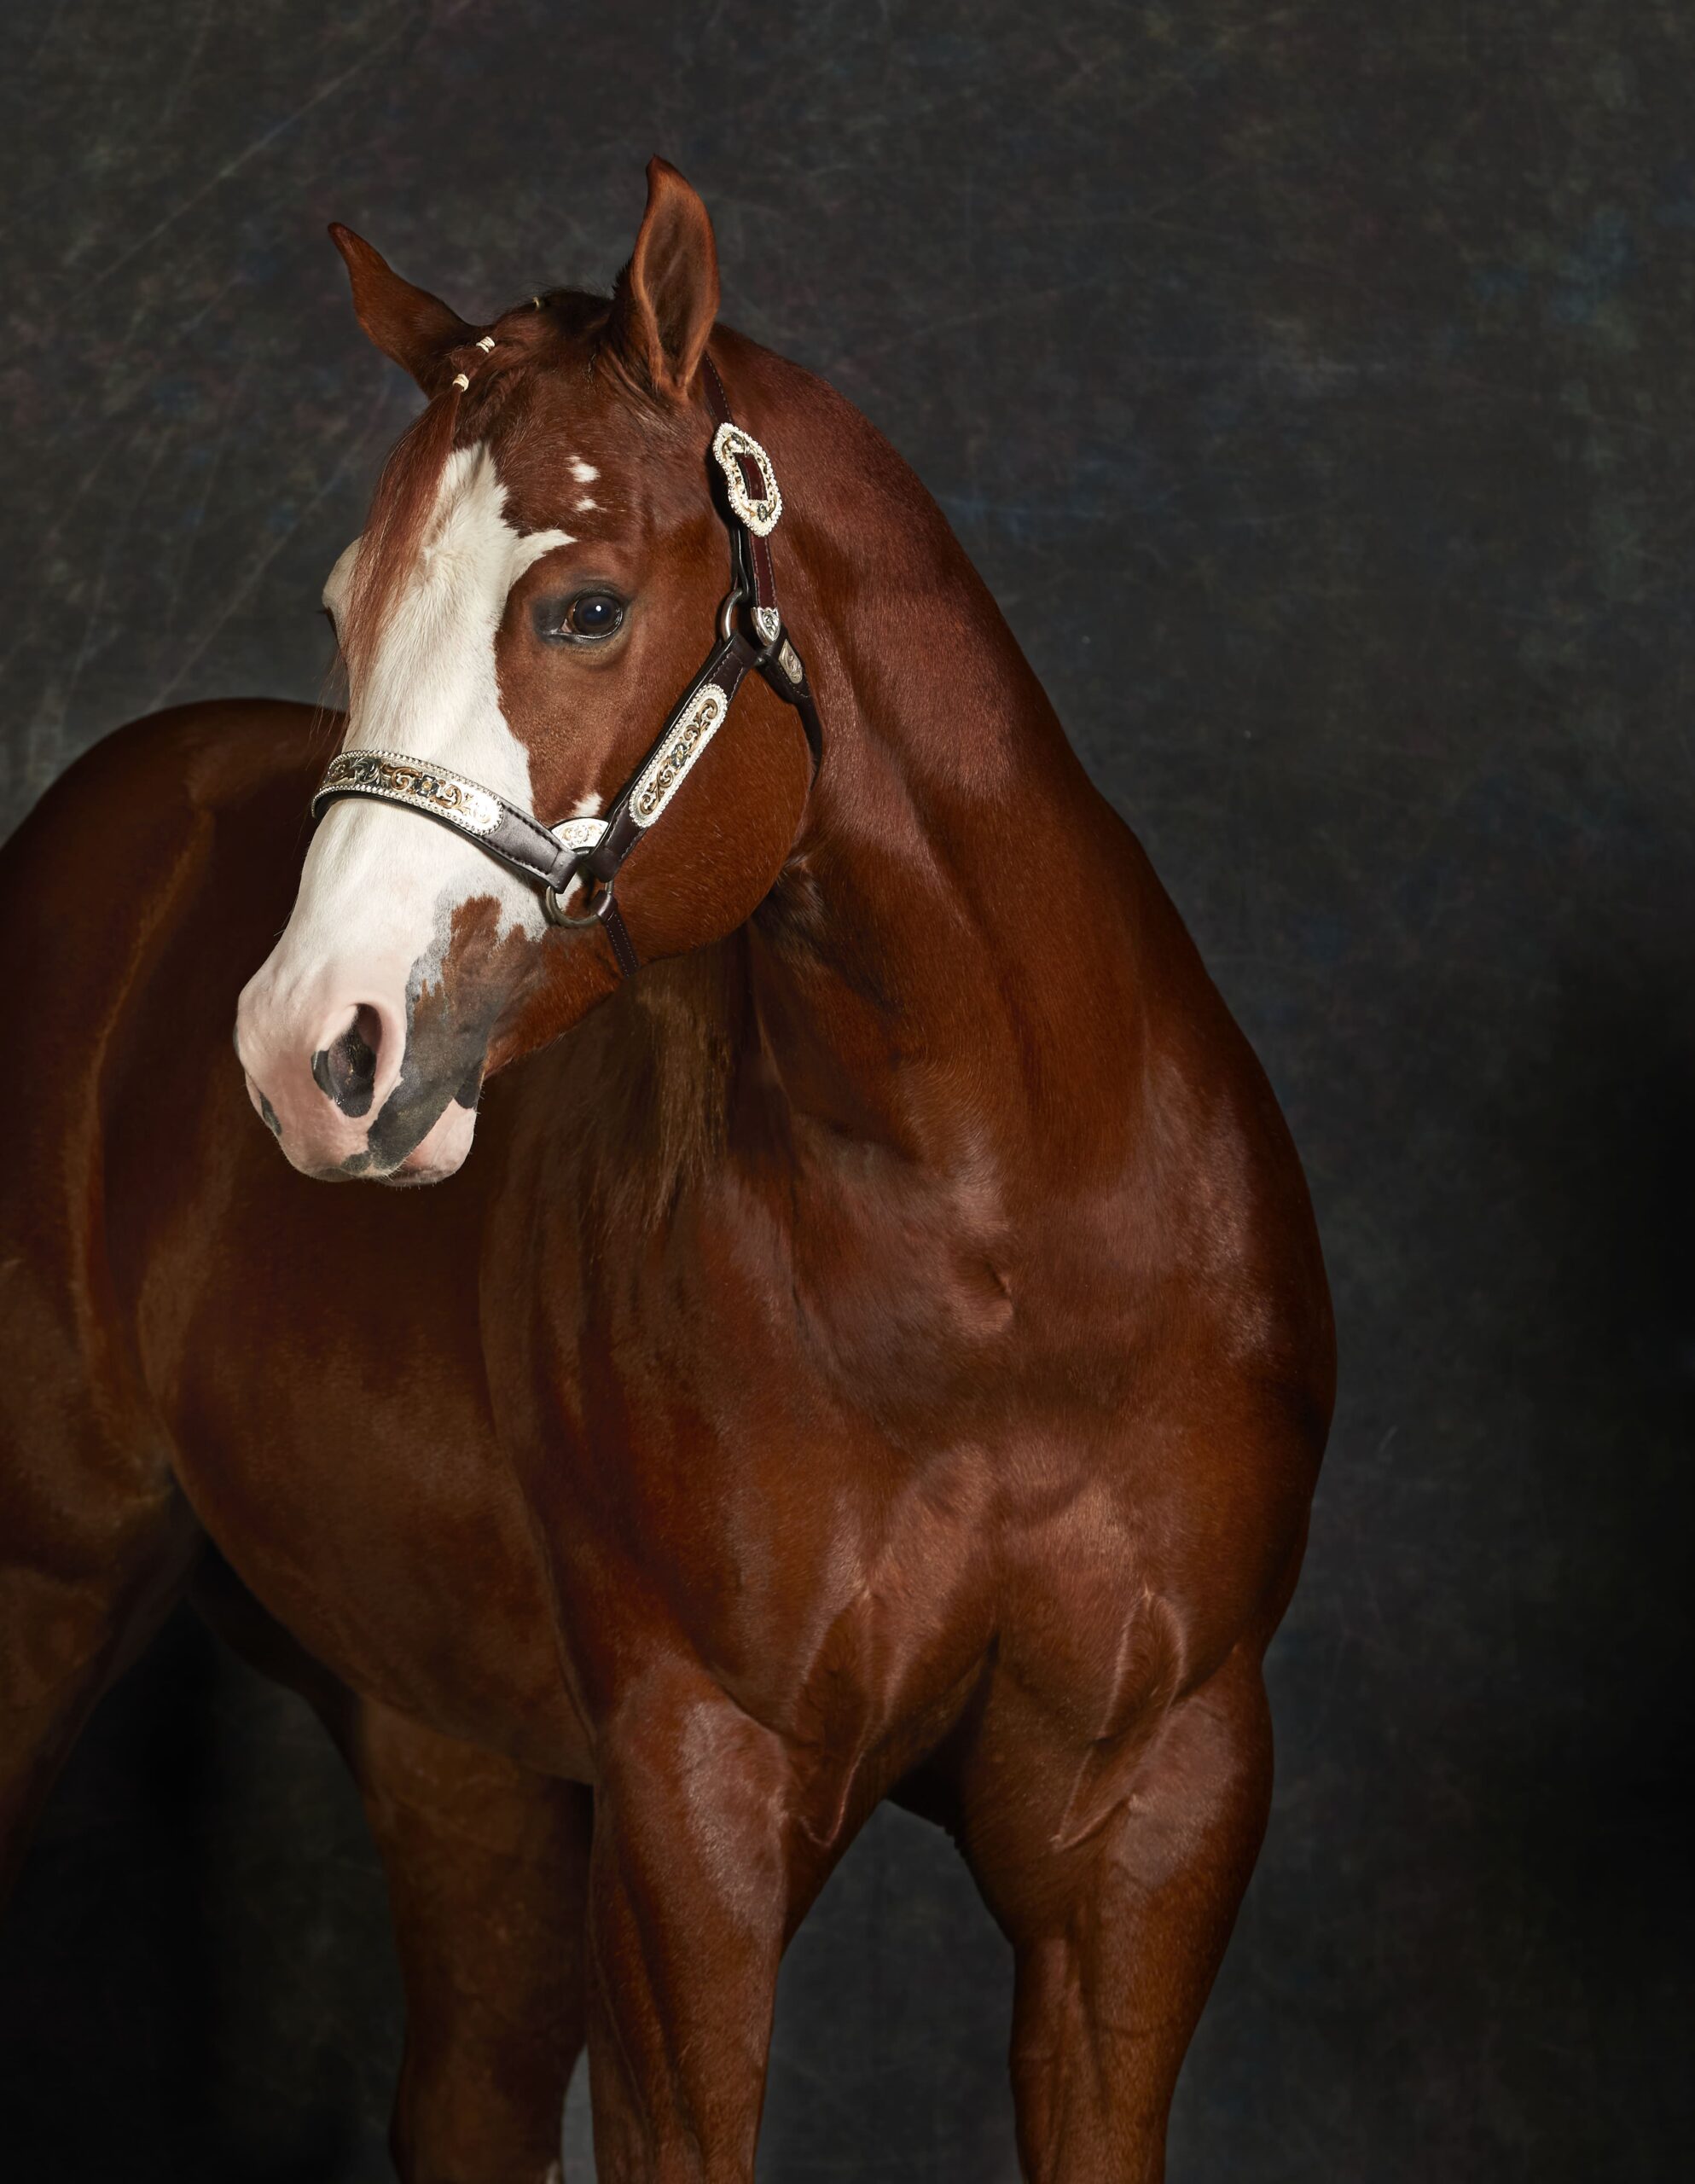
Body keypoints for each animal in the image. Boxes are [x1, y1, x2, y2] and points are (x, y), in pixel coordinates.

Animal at [0, 158, 1334, 2183]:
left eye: (585, 606)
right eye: (344, 604)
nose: (308, 1051)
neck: (1000, 1272)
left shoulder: (1150, 1819)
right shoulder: (689, 1802)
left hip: (455, 1758)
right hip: (49, 1593)